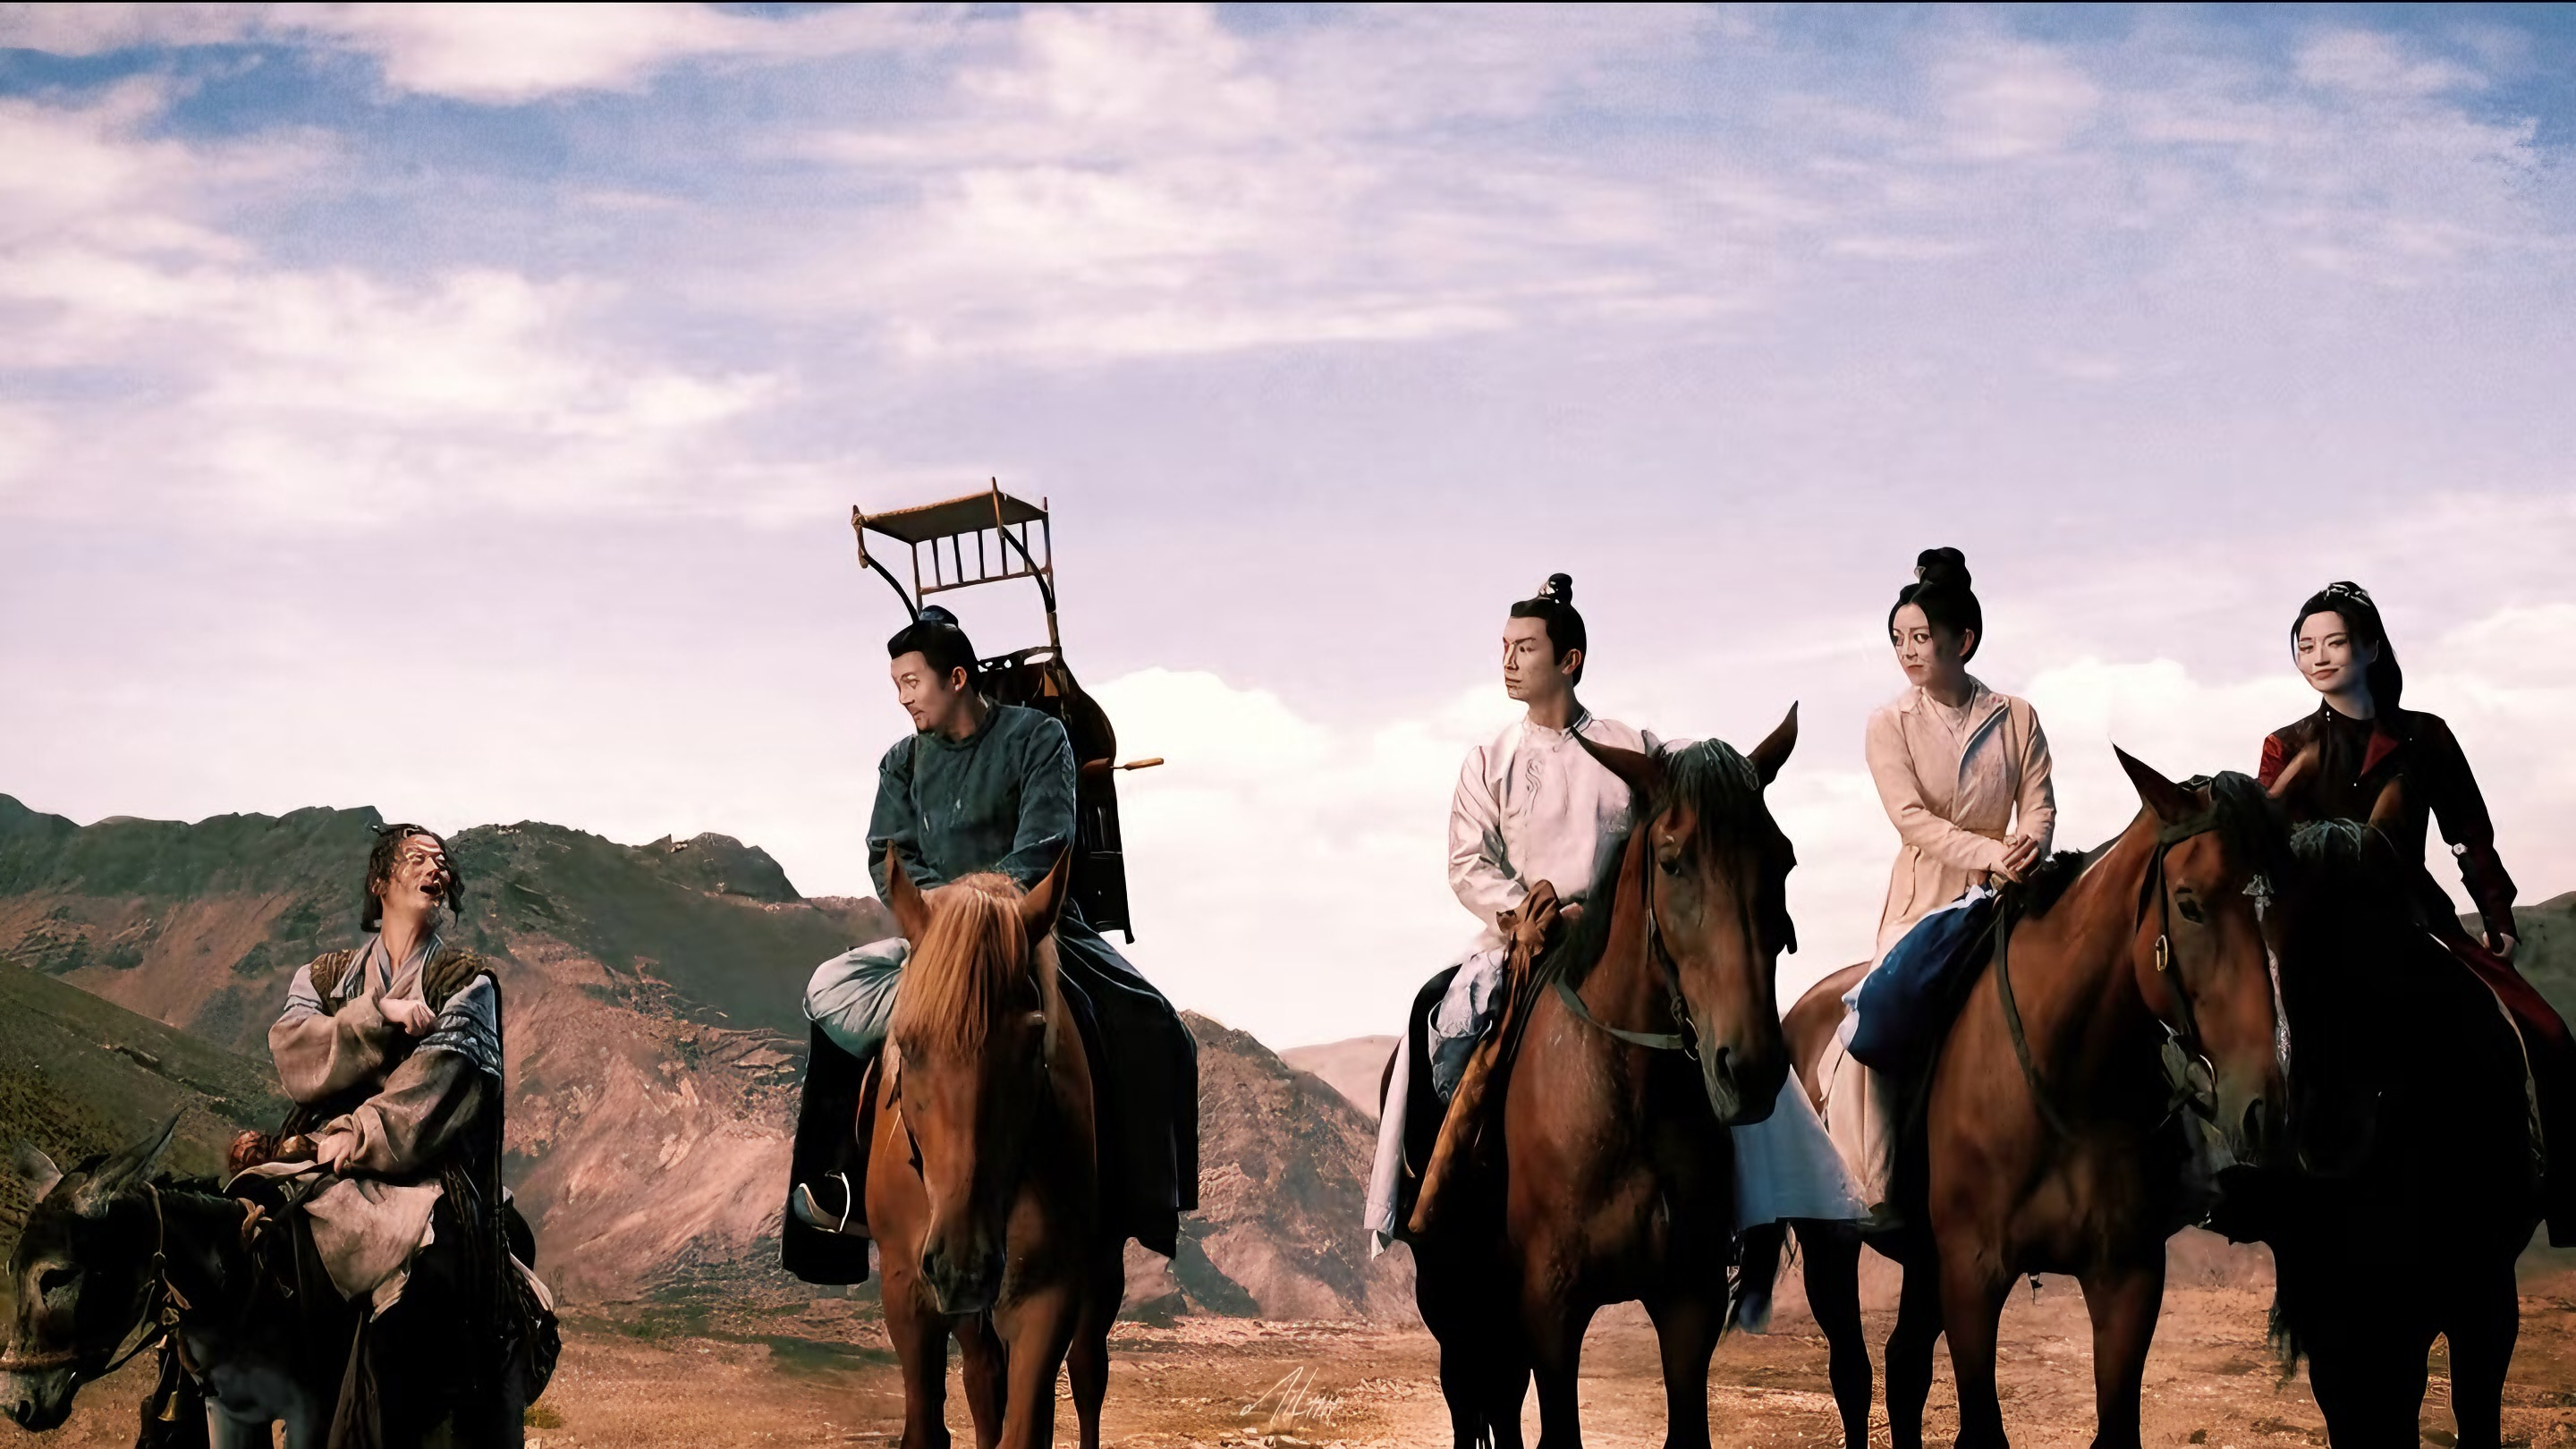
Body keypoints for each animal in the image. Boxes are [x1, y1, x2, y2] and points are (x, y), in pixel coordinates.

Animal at [869, 849, 1125, 1449]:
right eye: (907, 1044)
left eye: (1033, 1042)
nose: (964, 1264)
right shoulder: (907, 1290)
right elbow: (930, 1425)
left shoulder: (1047, 1292)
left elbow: (1028, 1426)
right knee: (984, 1379)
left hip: (1102, 1273)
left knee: (1088, 1375)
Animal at [1409, 710, 1804, 1449]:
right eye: (1672, 861)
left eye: (1783, 858)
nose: (1750, 1068)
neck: (1628, 1098)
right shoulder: (1550, 1304)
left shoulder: (1690, 1297)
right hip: (1459, 1313)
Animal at [1763, 753, 2290, 1449]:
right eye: (2189, 903)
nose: (2264, 1109)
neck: (2066, 1084)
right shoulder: (1972, 1275)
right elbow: (1981, 1429)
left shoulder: (2128, 1276)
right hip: (1832, 1247)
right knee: (1853, 1373)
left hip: (1924, 1262)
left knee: (1904, 1367)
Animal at [2249, 815, 2540, 1449]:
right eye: (2273, 939)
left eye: (2387, 936)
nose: (2326, 1135)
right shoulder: (2340, 1315)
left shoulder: (2483, 1300)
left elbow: (2470, 1408)